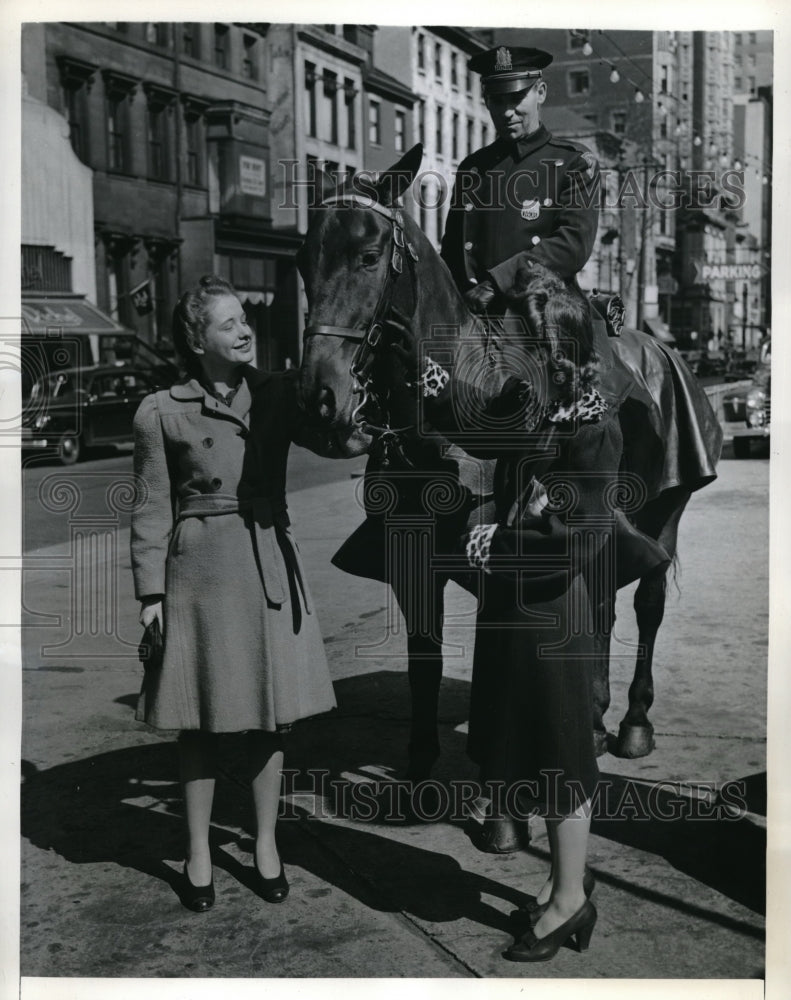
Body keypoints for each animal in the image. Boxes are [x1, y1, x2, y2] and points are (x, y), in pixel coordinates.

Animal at [296, 146, 724, 788]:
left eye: (369, 257)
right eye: (301, 263)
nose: (322, 400)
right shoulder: (413, 560)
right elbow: (424, 658)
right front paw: (421, 761)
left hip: (663, 510)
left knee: (646, 605)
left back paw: (631, 722)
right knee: (601, 604)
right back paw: (595, 712)